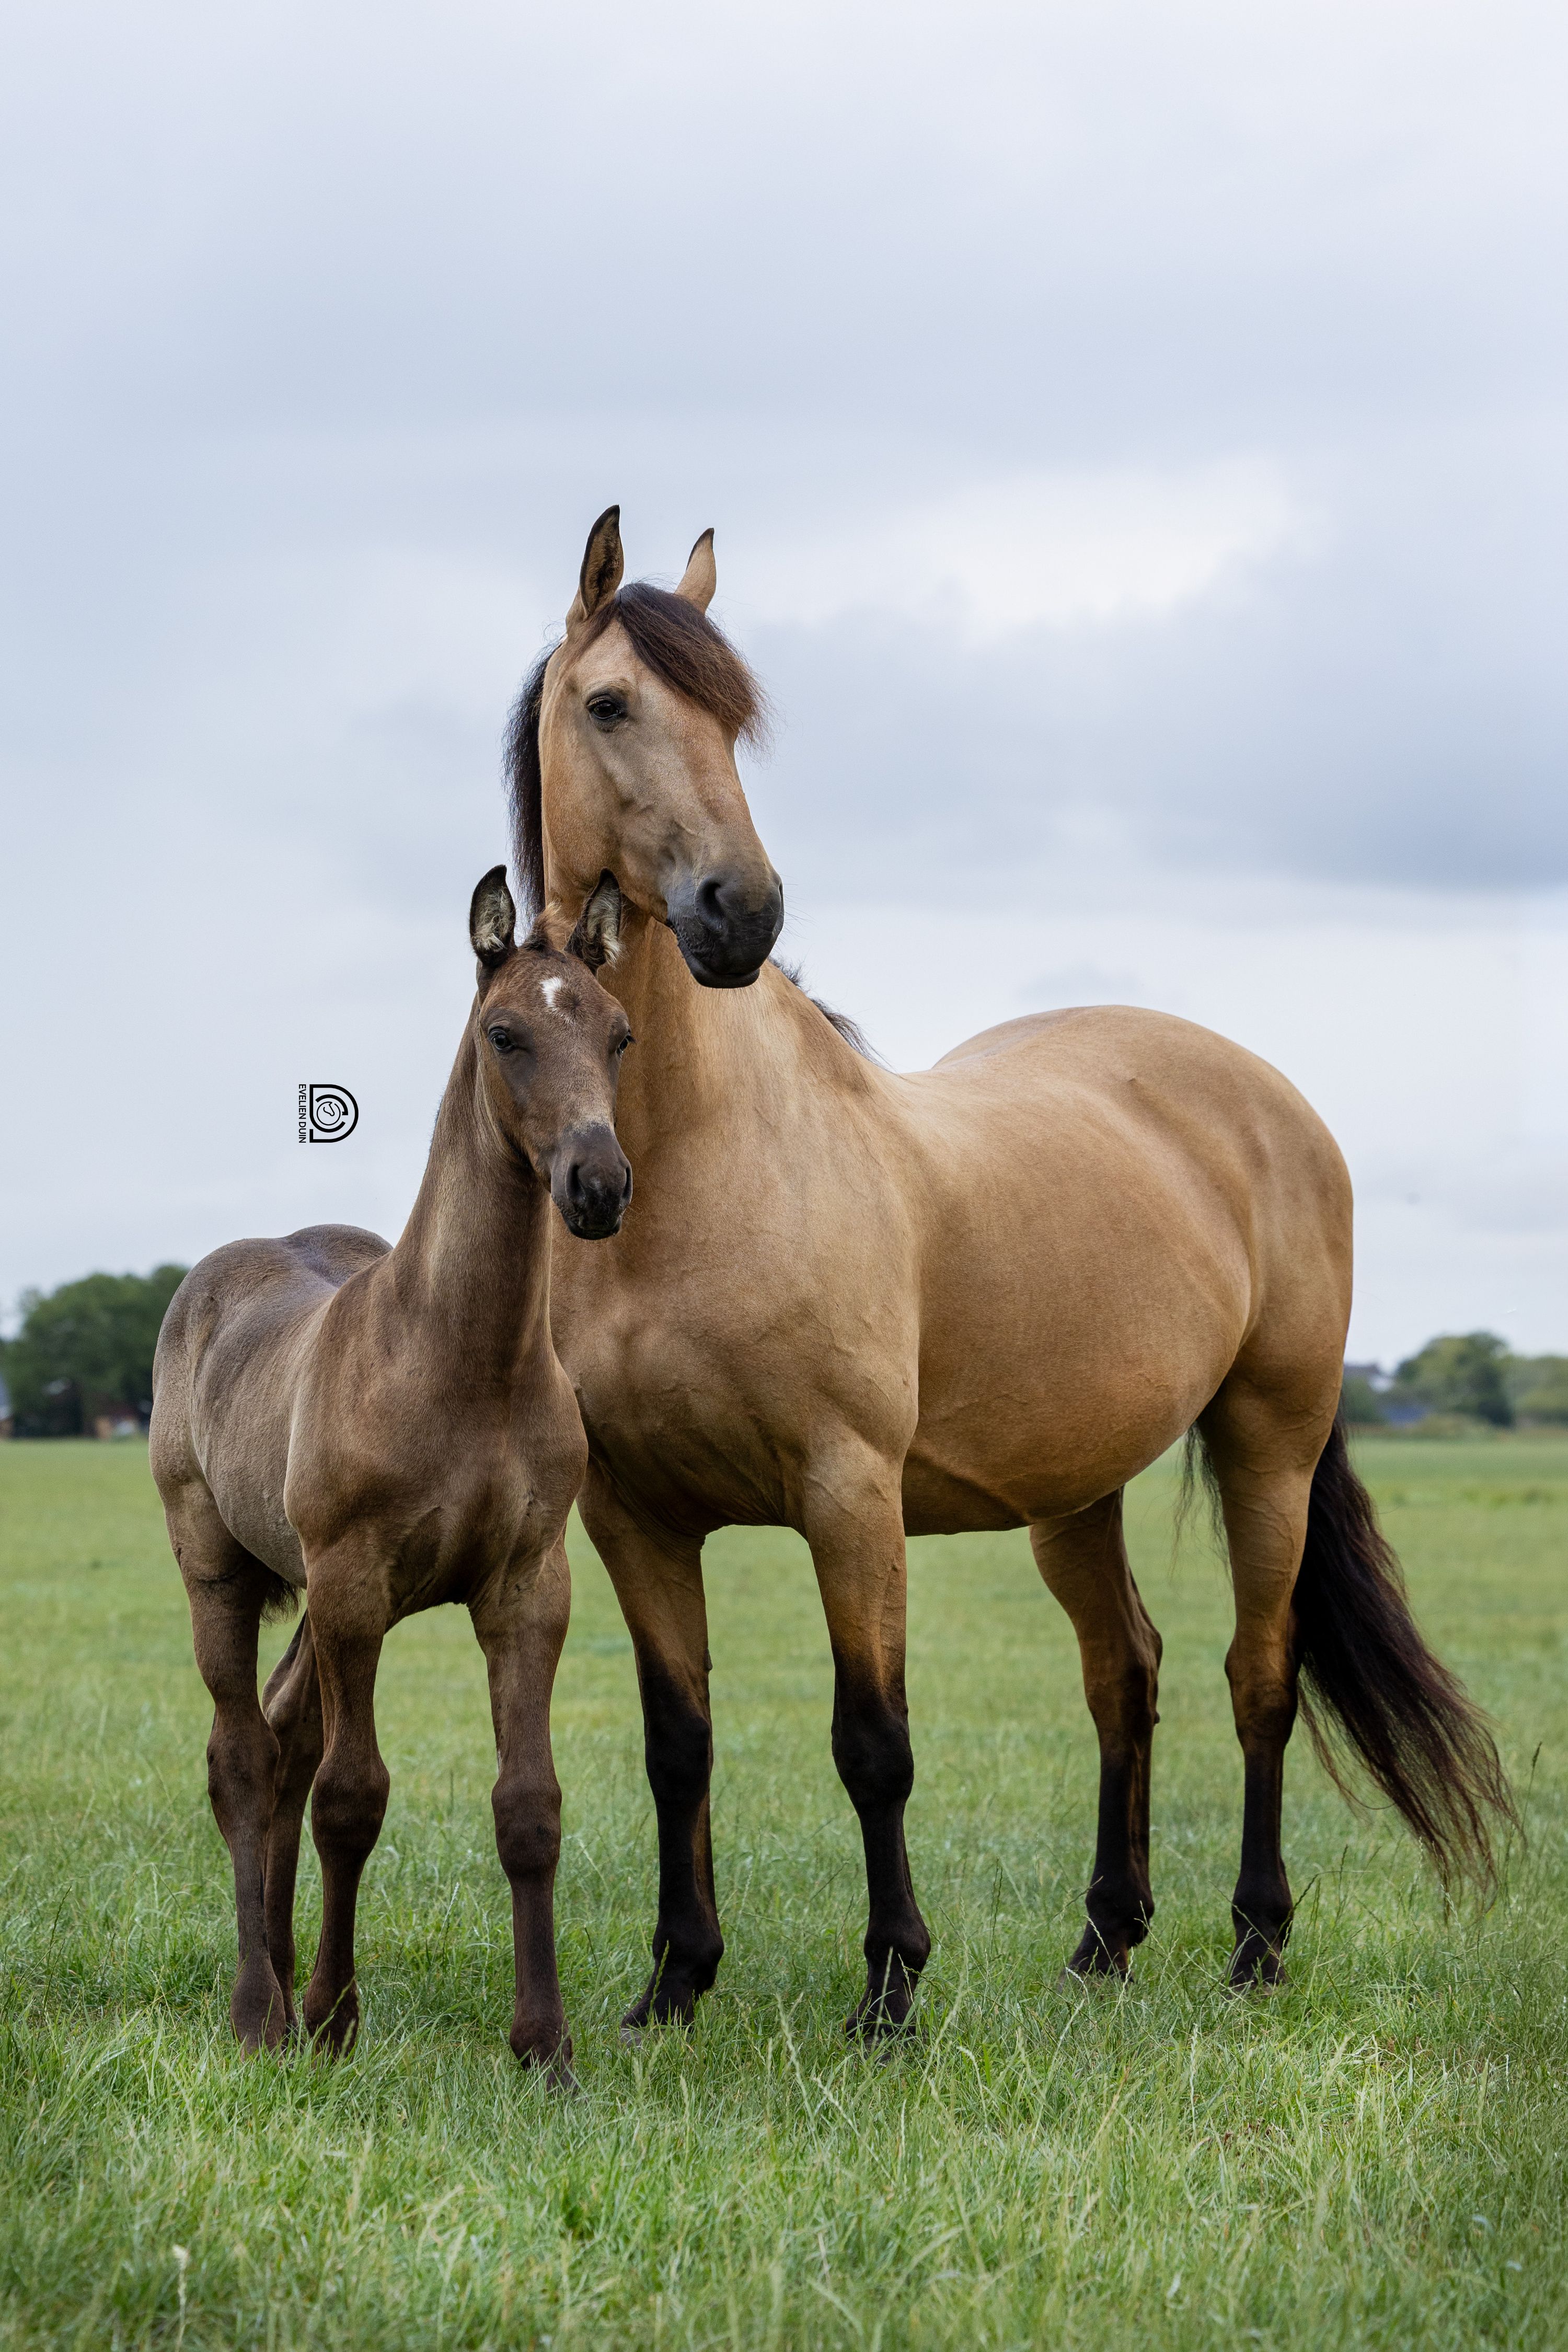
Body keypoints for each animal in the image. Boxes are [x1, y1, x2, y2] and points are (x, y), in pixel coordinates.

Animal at [150, 871, 631, 2072]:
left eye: (620, 1034)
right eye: (505, 1034)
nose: (599, 1184)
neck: (465, 1362)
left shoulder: (527, 1588)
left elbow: (529, 1805)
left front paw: (544, 2045)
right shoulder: (356, 1584)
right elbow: (352, 1797)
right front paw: (332, 2016)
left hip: (316, 1604)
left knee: (282, 1741)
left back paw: (277, 1982)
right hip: (225, 1571)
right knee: (244, 1756)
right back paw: (259, 2007)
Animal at [504, 506, 1514, 2039]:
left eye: (733, 721)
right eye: (610, 702)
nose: (740, 913)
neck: (700, 1162)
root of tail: (1264, 1095)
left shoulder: (848, 1493)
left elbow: (872, 1742)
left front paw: (888, 1987)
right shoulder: (635, 1516)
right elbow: (678, 1742)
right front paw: (673, 1980)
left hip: (1268, 1442)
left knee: (1257, 1679)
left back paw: (1255, 1943)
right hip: (1073, 1487)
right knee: (1125, 1673)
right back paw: (1104, 1938)